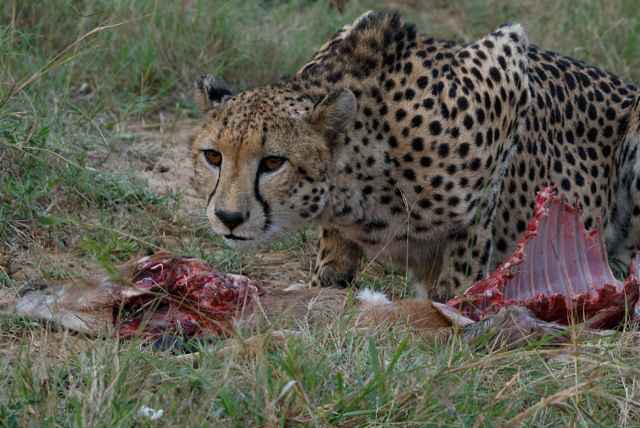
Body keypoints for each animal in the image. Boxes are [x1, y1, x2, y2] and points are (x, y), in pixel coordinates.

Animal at [190, 11, 640, 303]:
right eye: (213, 157)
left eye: (272, 162)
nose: (228, 218)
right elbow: (332, 255)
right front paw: (327, 282)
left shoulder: (508, 70)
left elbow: (466, 255)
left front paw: (455, 312)